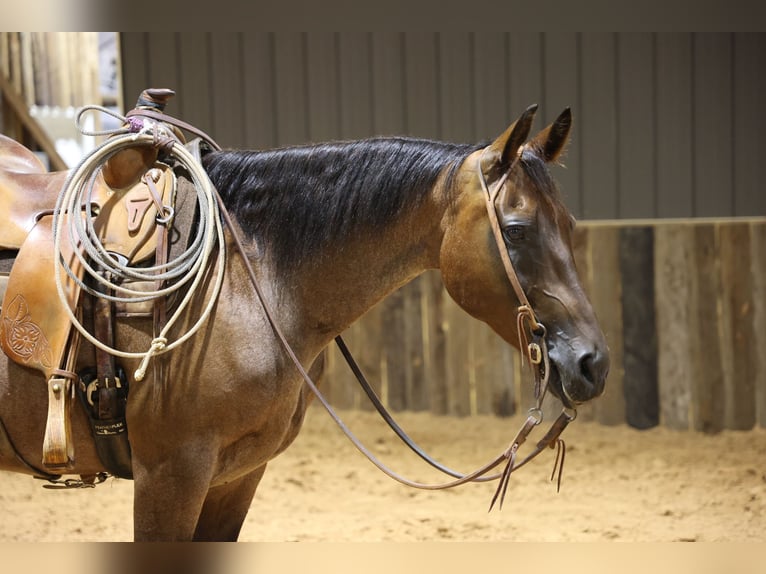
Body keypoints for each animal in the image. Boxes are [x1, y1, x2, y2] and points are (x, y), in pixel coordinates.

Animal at [0, 104, 609, 541]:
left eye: (570, 224)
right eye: (515, 229)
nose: (592, 363)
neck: (248, 280)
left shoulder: (236, 477)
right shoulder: (168, 475)